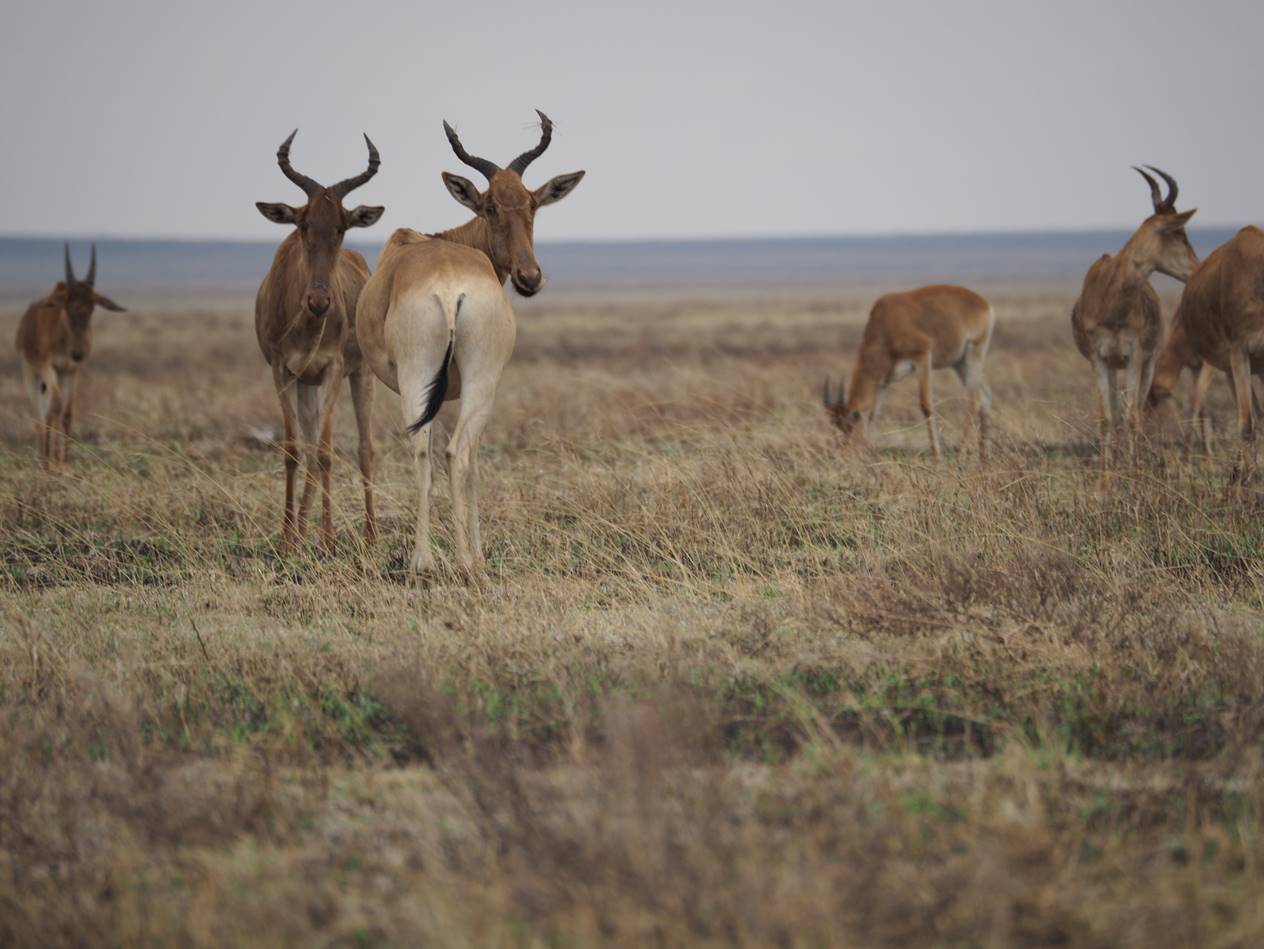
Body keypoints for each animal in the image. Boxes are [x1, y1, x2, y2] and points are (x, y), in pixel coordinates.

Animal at [15, 244, 126, 465]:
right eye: (67, 305)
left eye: (92, 307)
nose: (78, 351)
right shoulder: (47, 366)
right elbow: (55, 407)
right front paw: (53, 462)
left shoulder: (71, 370)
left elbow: (67, 412)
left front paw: (63, 461)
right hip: (30, 370)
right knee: (39, 413)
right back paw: (43, 458)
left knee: (49, 410)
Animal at [254, 130, 385, 553]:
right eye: (303, 224)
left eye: (342, 226)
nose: (319, 302)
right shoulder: (283, 371)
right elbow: (295, 450)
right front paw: (286, 538)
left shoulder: (333, 368)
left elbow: (327, 453)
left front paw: (327, 538)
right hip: (306, 384)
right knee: (310, 448)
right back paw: (299, 531)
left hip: (360, 376)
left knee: (364, 448)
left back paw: (370, 533)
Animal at [356, 111, 584, 580]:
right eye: (490, 205)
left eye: (531, 203)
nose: (529, 277)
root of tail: (448, 285)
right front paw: (476, 551)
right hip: (473, 379)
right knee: (448, 452)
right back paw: (448, 561)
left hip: (427, 376)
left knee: (436, 452)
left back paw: (436, 561)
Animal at [821, 285, 995, 460]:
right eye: (839, 426)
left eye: (853, 418)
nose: (846, 453)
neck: (886, 321)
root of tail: (984, 303)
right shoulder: (884, 380)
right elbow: (874, 412)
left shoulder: (923, 357)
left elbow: (925, 404)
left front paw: (937, 456)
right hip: (959, 363)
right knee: (986, 398)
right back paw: (984, 456)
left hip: (973, 354)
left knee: (975, 400)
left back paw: (960, 452)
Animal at [1070, 166, 1198, 469]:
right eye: (1178, 231)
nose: (1197, 268)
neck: (1109, 297)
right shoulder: (1099, 359)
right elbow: (1107, 419)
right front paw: (1106, 477)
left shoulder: (1135, 356)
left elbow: (1132, 418)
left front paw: (1133, 471)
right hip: (1114, 365)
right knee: (1118, 412)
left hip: (1148, 363)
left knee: (1137, 410)